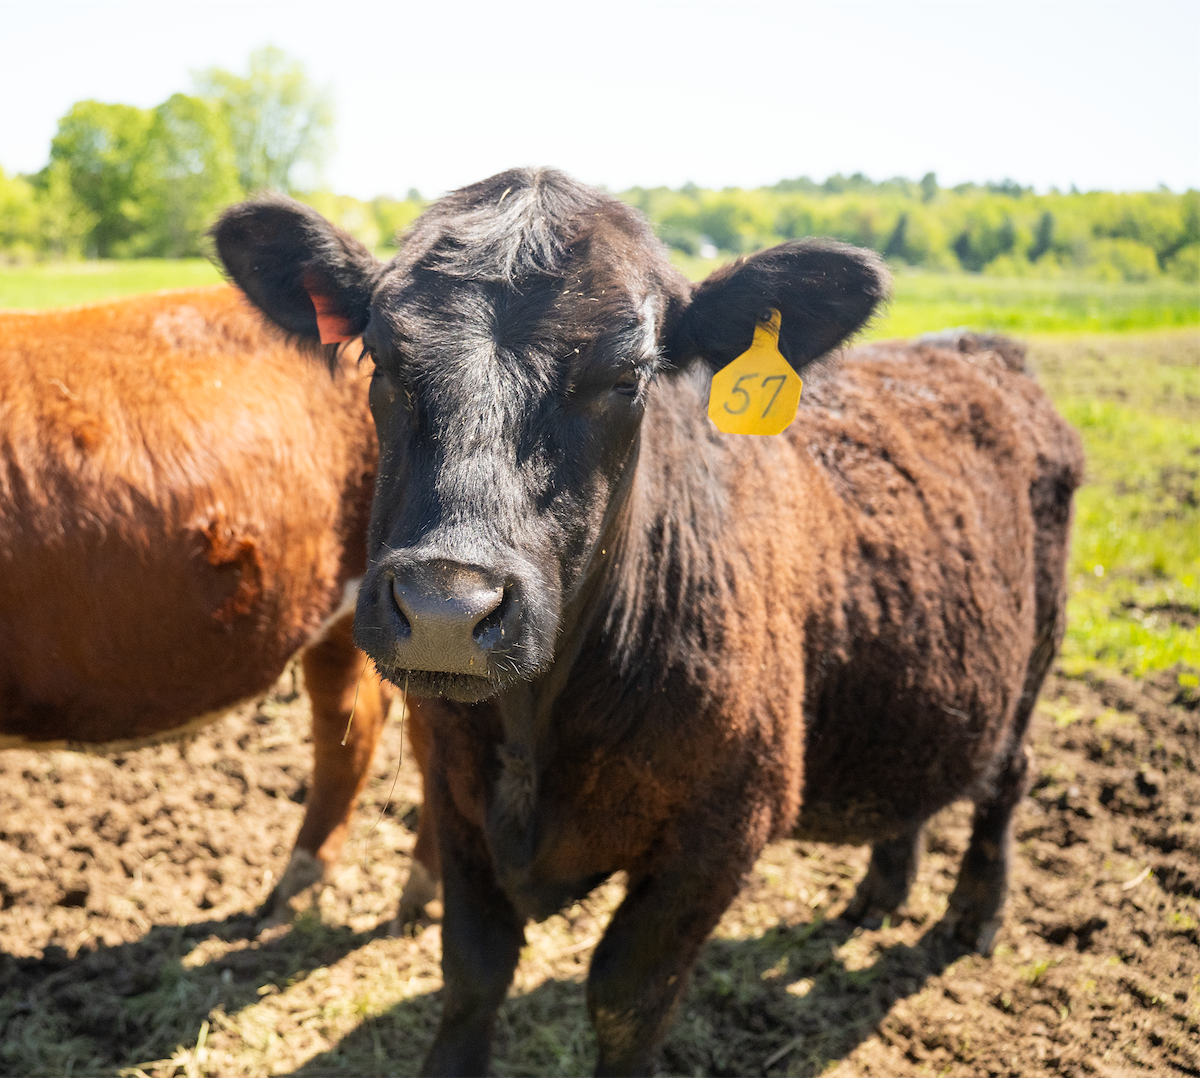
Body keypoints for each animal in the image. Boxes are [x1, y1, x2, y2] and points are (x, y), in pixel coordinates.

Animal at [215, 167, 1084, 1077]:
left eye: (627, 378)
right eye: (381, 358)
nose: (447, 608)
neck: (534, 735)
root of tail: (981, 348)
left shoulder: (720, 833)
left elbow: (626, 999)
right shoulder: (456, 802)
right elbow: (472, 973)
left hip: (1034, 663)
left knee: (1009, 778)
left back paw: (974, 915)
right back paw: (879, 895)